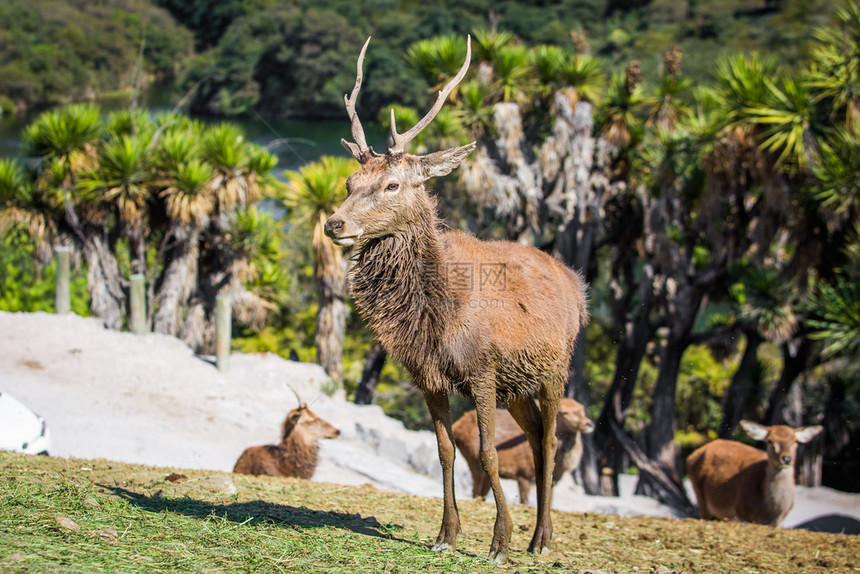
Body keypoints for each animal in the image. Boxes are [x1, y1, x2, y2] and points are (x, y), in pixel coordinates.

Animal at [454, 398, 596, 506]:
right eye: (564, 413)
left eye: (582, 409)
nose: (588, 424)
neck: (560, 466)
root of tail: (456, 426)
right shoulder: (523, 473)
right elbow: (525, 502)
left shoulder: (552, 481)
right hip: (474, 461)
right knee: (475, 492)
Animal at [684, 420, 828, 528]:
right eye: (769, 441)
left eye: (795, 441)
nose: (786, 459)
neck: (770, 510)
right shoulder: (741, 512)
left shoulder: (777, 522)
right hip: (702, 498)